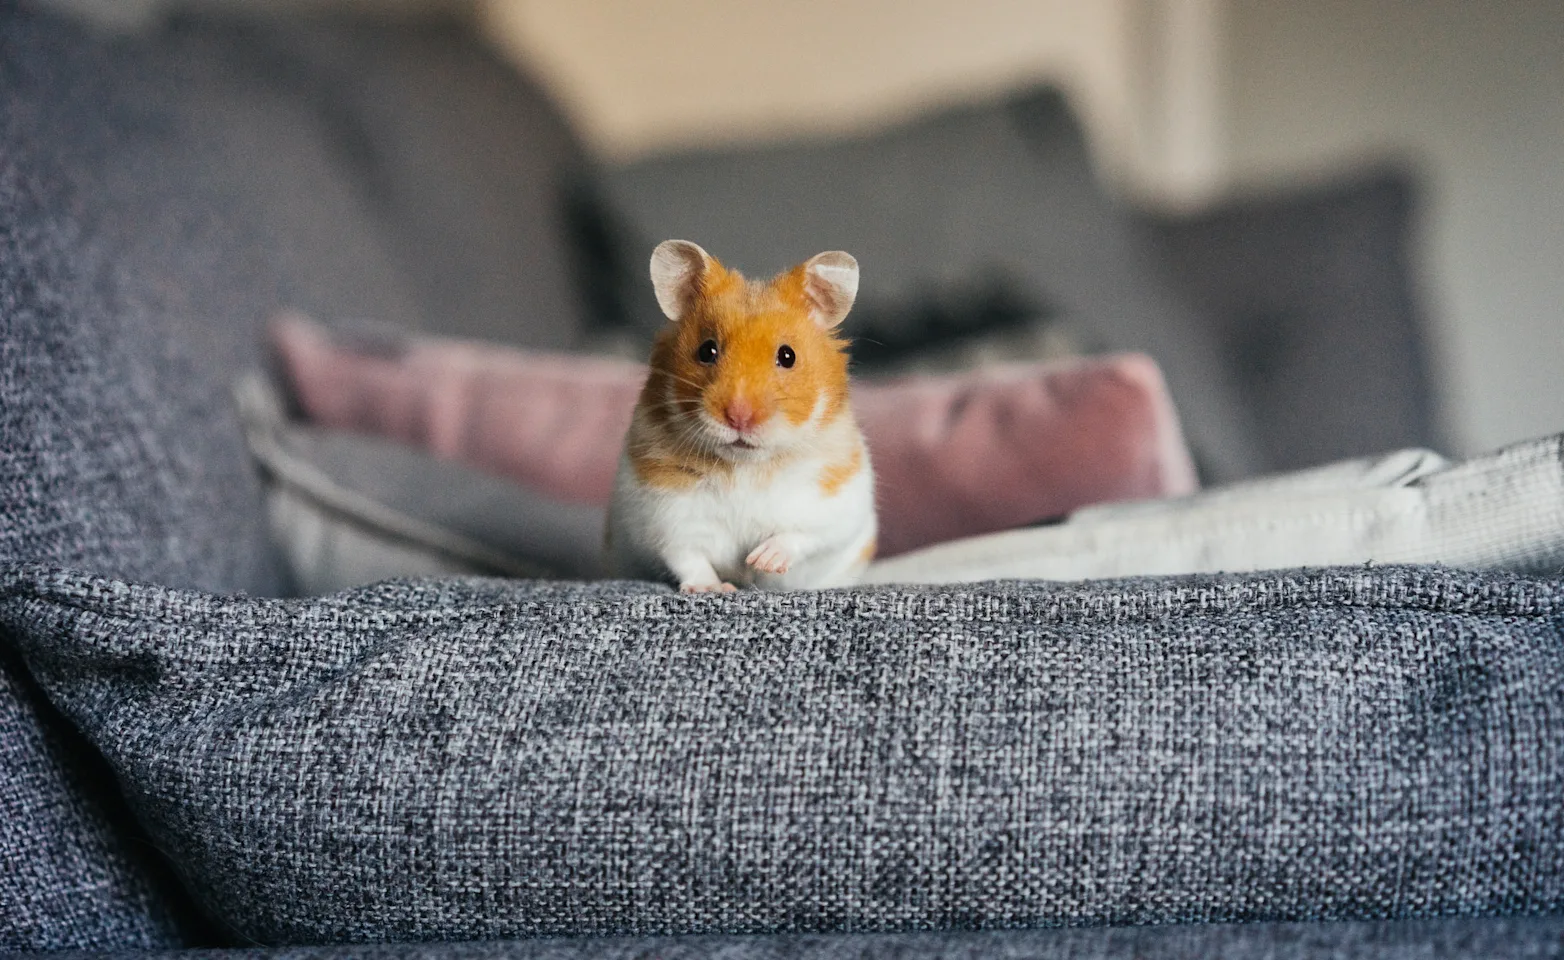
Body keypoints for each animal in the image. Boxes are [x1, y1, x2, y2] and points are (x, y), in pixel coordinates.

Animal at [606, 240, 882, 594]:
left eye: (788, 356)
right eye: (707, 350)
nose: (739, 417)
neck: (745, 466)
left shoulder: (835, 505)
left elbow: (802, 535)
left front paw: (761, 560)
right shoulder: (665, 516)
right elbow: (687, 556)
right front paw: (713, 588)